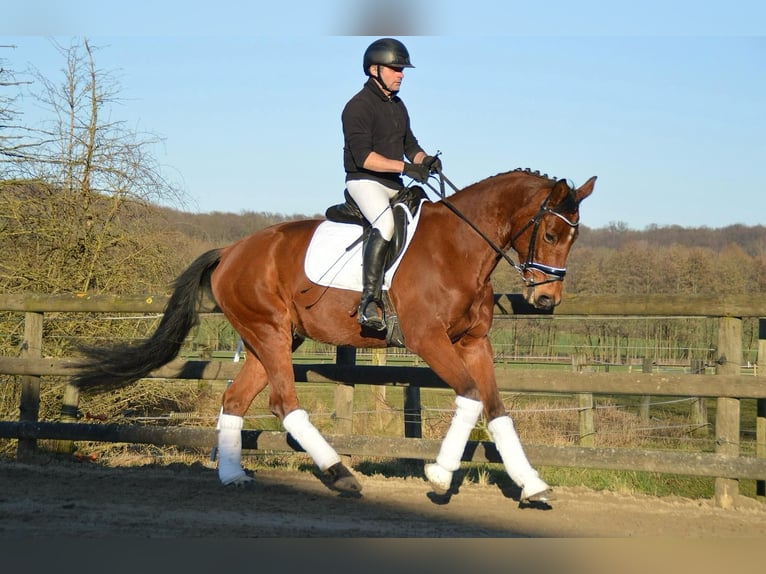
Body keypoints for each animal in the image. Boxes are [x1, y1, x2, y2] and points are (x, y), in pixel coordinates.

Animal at [72, 168, 596, 504]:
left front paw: (532, 485)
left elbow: (497, 410)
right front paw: (439, 473)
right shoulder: (428, 339)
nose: (546, 300)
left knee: (236, 401)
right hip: (269, 333)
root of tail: (230, 251)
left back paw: (234, 476)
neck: (459, 248)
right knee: (284, 403)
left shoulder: (474, 343)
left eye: (574, 238)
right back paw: (341, 475)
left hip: (273, 340)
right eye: (551, 234)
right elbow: (469, 399)